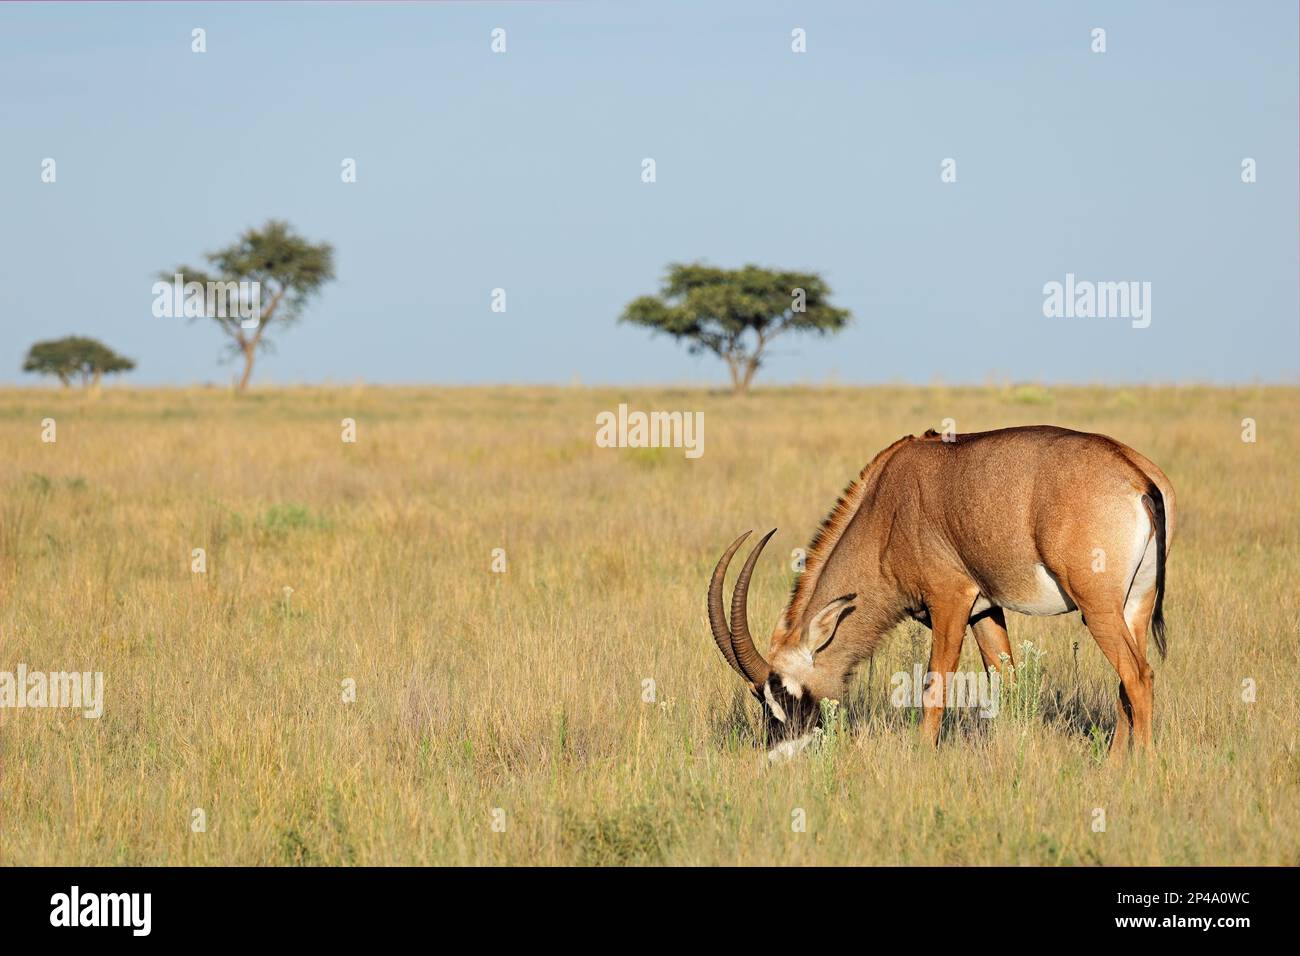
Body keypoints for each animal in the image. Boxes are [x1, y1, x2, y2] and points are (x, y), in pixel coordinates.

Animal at [712, 426, 1180, 764]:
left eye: (783, 693)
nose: (777, 758)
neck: (887, 505)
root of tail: (1138, 476)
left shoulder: (950, 601)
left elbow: (934, 687)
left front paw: (922, 756)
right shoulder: (984, 611)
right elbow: (1007, 681)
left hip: (1097, 608)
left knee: (1139, 677)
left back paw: (1143, 765)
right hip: (1132, 607)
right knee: (1127, 680)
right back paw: (1113, 765)